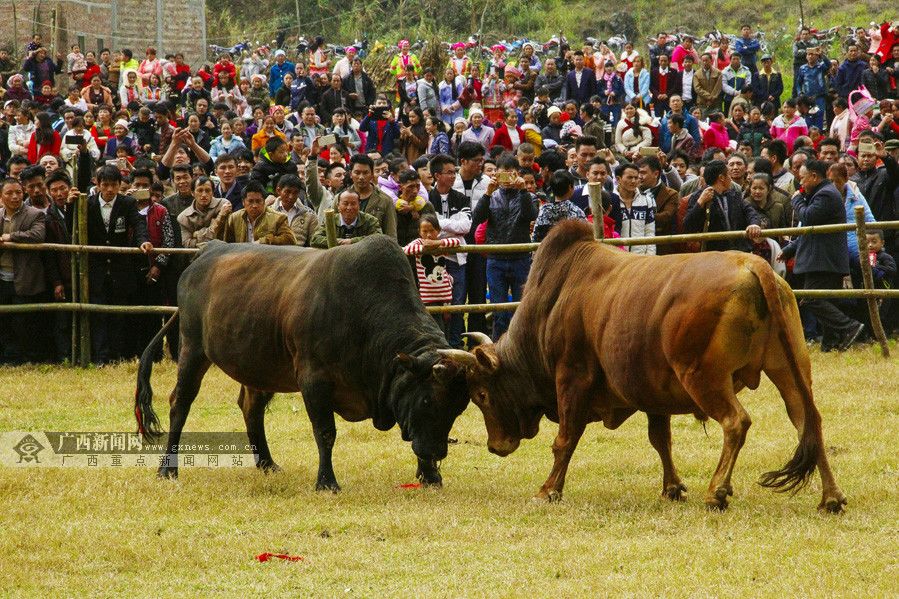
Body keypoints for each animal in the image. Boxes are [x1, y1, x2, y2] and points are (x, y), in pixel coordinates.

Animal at [137, 237, 472, 490]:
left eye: (457, 408)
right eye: (427, 400)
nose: (437, 451)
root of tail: (208, 249)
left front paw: (430, 475)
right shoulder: (314, 380)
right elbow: (325, 432)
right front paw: (326, 482)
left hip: (258, 365)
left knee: (250, 408)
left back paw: (267, 463)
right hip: (193, 350)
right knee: (180, 403)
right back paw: (168, 469)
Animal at [442, 223, 852, 512]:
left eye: (481, 394)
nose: (496, 446)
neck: (550, 307)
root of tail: (752, 265)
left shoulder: (572, 379)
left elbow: (565, 440)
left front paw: (548, 490)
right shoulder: (654, 392)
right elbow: (661, 440)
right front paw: (672, 487)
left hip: (703, 376)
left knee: (737, 422)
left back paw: (717, 491)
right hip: (789, 370)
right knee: (808, 421)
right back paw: (830, 497)